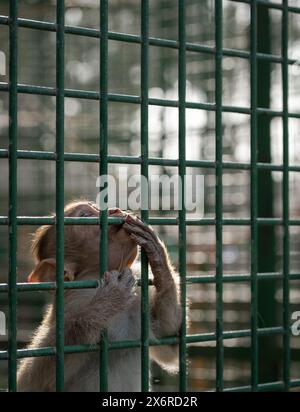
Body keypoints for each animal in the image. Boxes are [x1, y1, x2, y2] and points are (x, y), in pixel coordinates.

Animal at [18, 201, 183, 392]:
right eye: (85, 215)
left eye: (96, 207)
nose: (113, 210)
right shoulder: (74, 302)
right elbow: (30, 381)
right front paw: (108, 301)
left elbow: (168, 342)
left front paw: (158, 257)